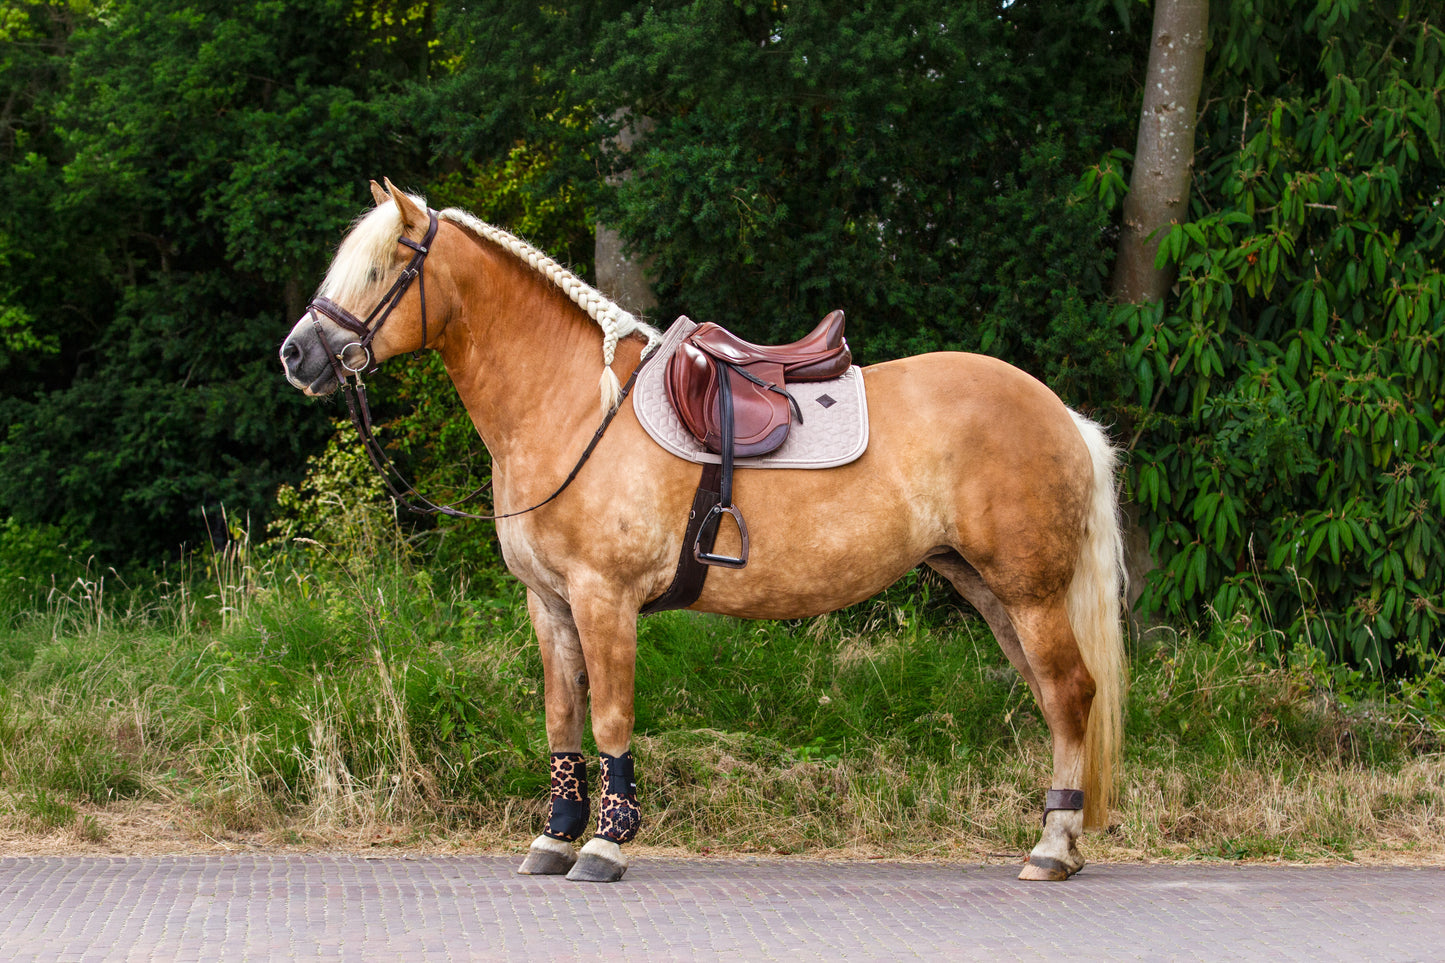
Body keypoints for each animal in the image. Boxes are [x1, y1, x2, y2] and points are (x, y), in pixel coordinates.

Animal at [280, 179, 1126, 883]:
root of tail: (1063, 415)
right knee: (1053, 698)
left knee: (1068, 692)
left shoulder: (604, 599)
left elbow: (610, 715)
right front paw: (553, 837)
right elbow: (560, 718)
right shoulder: (549, 606)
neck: (575, 406)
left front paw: (605, 844)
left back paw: (1051, 847)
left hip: (1030, 592)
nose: (297, 353)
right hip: (987, 589)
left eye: (385, 266)